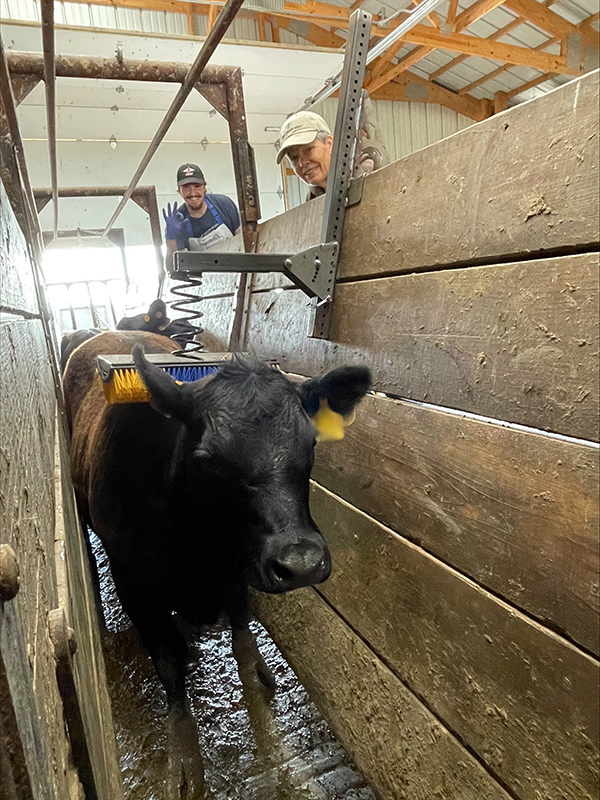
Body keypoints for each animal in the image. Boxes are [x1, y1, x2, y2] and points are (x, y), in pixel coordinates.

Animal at [62, 330, 371, 796]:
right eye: (208, 457)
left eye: (312, 443)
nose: (301, 562)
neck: (196, 546)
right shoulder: (135, 585)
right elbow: (168, 666)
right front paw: (184, 758)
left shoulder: (239, 565)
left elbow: (243, 640)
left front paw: (261, 693)